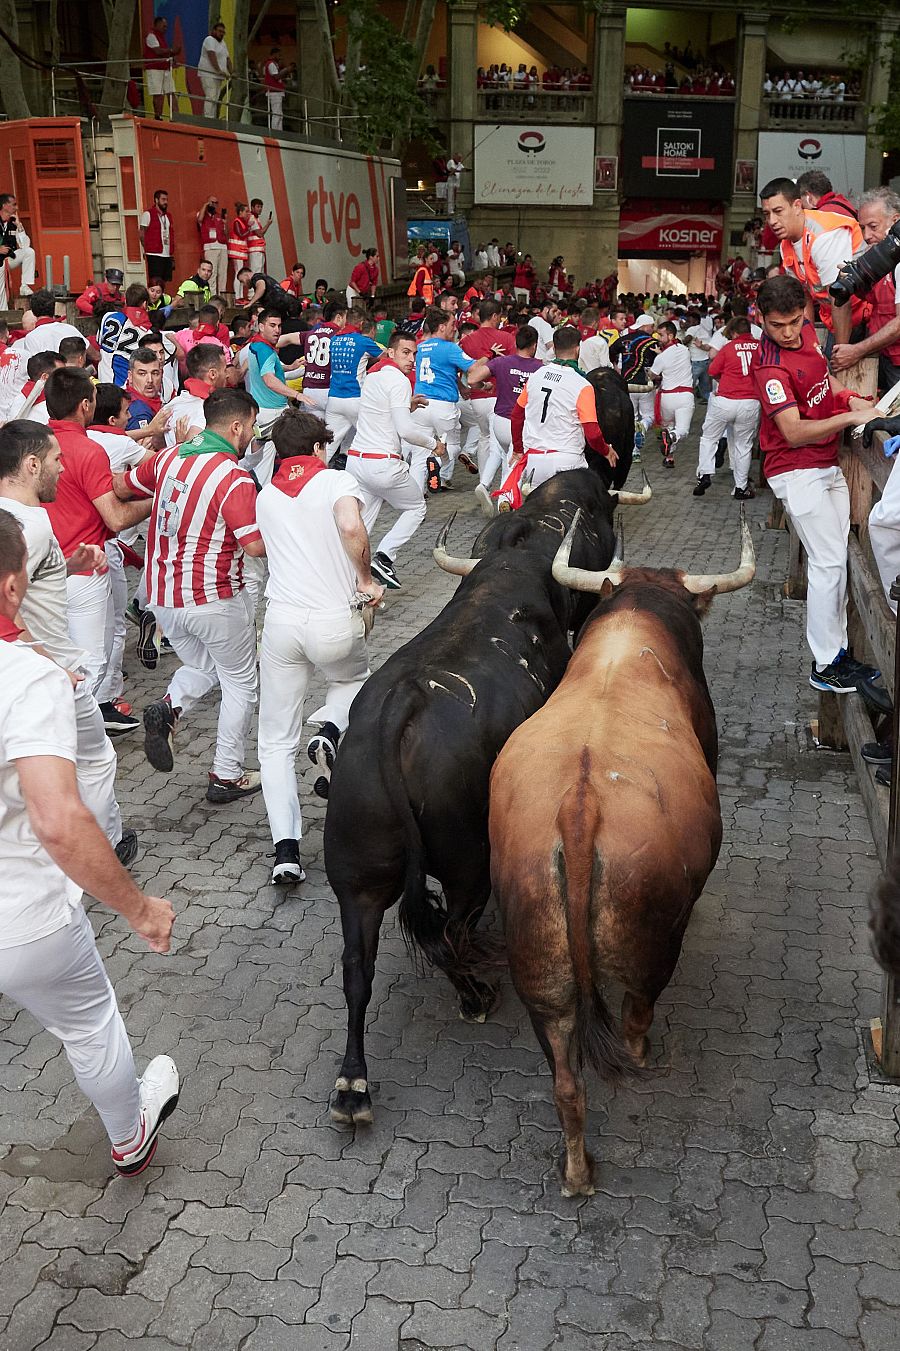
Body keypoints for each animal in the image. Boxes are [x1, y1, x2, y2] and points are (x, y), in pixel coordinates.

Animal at [320, 470, 616, 1124]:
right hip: (467, 863)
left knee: (359, 967)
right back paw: (477, 994)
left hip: (356, 875)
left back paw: (353, 1083)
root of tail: (397, 713)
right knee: (452, 931)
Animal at [486, 507, 751, 1194]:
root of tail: (580, 808)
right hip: (653, 943)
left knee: (565, 1081)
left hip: (540, 972)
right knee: (636, 1015)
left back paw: (578, 1172)